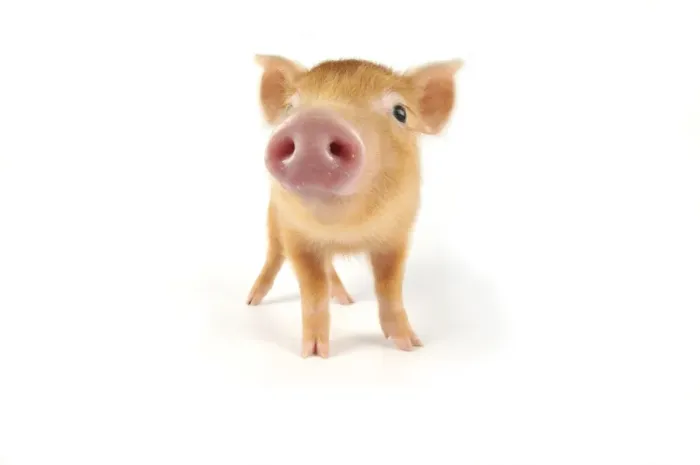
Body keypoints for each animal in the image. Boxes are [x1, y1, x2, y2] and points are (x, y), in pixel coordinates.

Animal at [246, 54, 462, 358]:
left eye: (400, 112)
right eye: (289, 108)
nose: (314, 123)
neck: (346, 233)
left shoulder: (397, 234)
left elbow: (389, 287)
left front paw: (411, 345)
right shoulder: (296, 236)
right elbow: (313, 290)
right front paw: (315, 354)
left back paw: (346, 300)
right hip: (273, 223)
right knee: (274, 259)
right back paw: (251, 301)